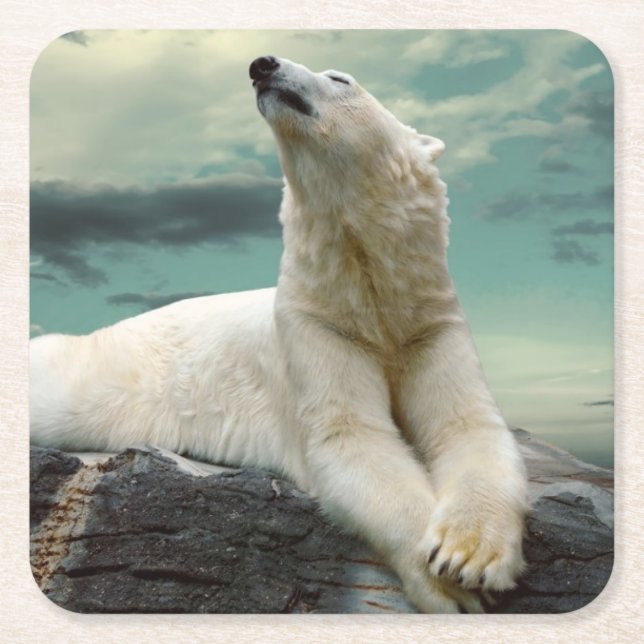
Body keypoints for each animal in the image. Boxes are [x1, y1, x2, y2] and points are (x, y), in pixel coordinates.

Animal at [30, 56, 528, 613]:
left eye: (340, 79)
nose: (262, 64)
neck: (368, 292)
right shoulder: (315, 326)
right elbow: (350, 437)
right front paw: (447, 583)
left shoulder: (429, 322)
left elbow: (468, 426)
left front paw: (468, 555)